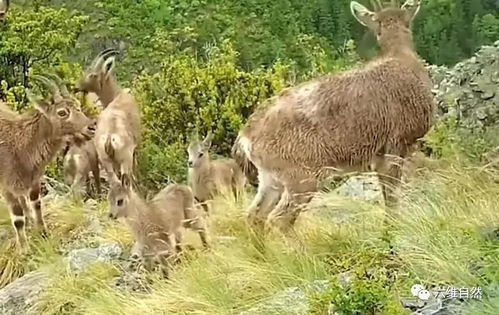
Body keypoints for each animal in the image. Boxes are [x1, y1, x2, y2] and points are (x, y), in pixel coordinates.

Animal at [74, 49, 141, 185]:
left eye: (92, 74)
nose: (76, 86)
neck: (117, 95)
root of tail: (110, 137)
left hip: (106, 162)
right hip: (125, 161)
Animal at [232, 0, 436, 233]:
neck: (401, 57)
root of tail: (245, 138)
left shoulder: (379, 156)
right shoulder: (397, 144)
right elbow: (392, 200)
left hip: (270, 178)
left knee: (254, 216)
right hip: (300, 176)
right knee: (279, 220)